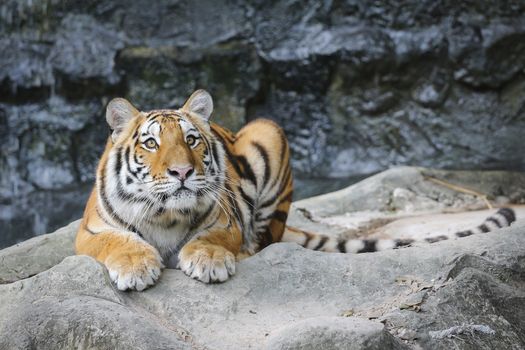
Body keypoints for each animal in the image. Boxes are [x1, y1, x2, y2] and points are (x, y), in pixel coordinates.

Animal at [73, 89, 516, 292]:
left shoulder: (226, 221)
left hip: (268, 132)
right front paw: (135, 266)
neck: (165, 214)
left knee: (265, 239)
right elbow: (117, 241)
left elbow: (211, 238)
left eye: (192, 140)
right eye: (151, 143)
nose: (182, 171)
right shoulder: (91, 231)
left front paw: (209, 261)